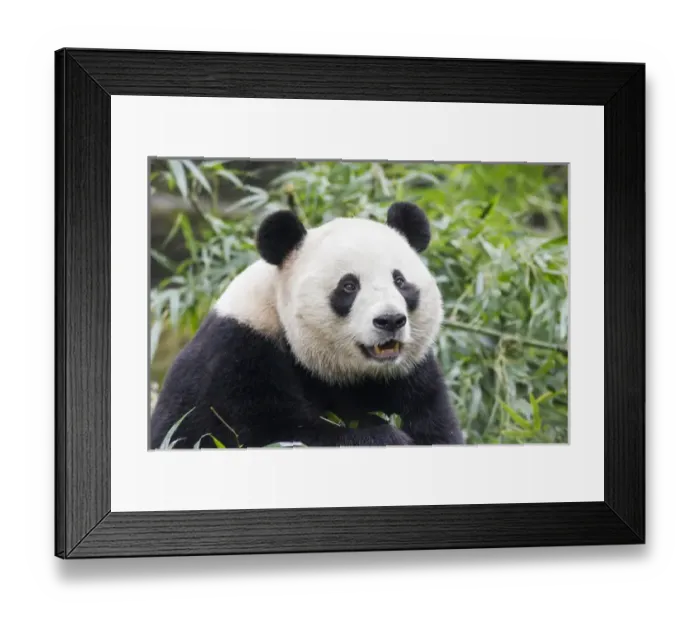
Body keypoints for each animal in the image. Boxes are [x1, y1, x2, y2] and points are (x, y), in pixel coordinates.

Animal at [150, 201, 465, 449]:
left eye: (400, 281)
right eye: (349, 286)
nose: (390, 320)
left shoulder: (410, 375)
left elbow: (434, 424)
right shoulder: (238, 358)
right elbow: (271, 434)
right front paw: (387, 436)